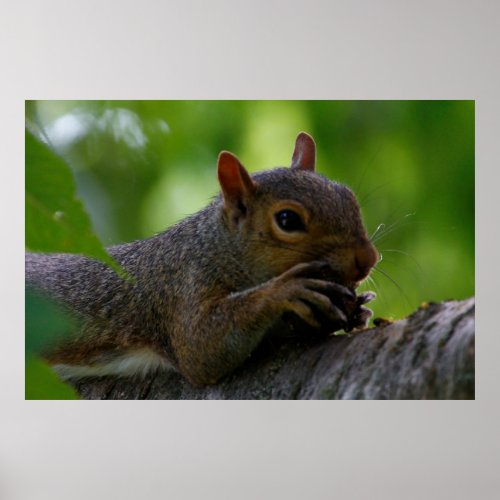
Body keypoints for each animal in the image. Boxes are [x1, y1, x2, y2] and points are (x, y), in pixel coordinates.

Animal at [25, 132, 376, 386]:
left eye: (349, 197)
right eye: (288, 220)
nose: (368, 259)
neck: (214, 247)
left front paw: (358, 310)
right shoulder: (181, 289)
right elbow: (200, 350)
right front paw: (285, 290)